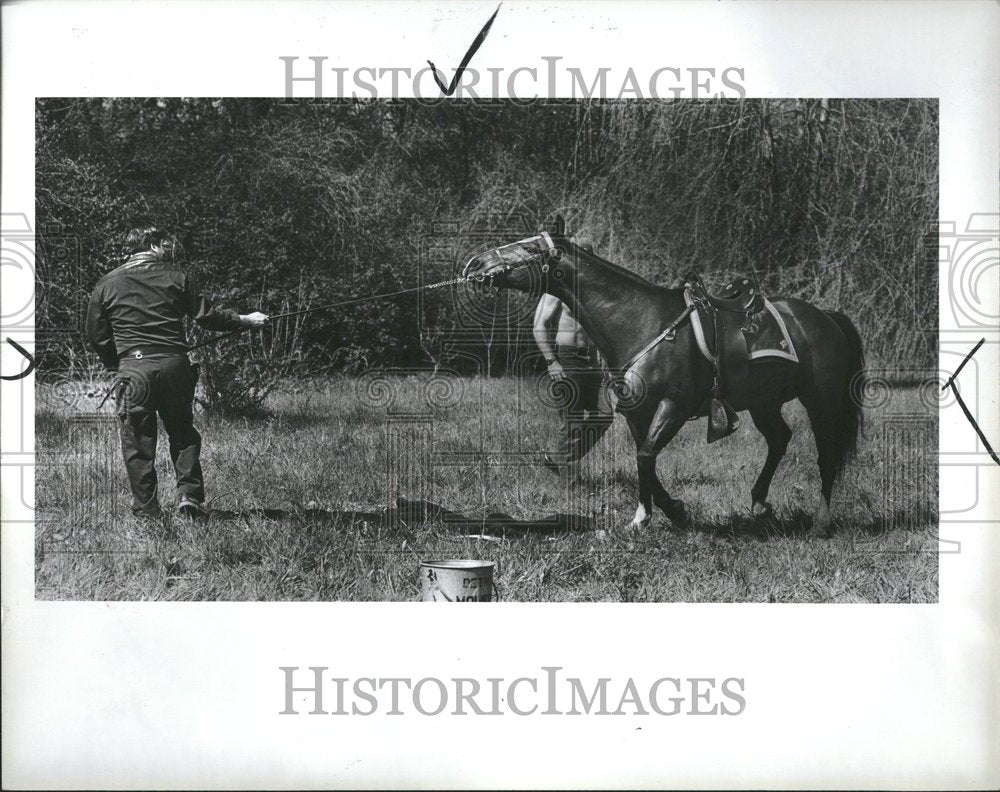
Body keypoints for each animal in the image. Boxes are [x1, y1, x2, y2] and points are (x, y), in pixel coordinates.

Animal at [464, 218, 864, 540]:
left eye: (530, 247)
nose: (476, 263)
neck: (642, 321)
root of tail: (826, 317)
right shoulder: (637, 411)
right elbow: (646, 459)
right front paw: (671, 512)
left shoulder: (674, 405)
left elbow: (645, 457)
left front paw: (645, 518)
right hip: (764, 402)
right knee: (779, 439)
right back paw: (759, 502)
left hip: (821, 401)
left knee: (825, 455)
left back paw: (821, 523)